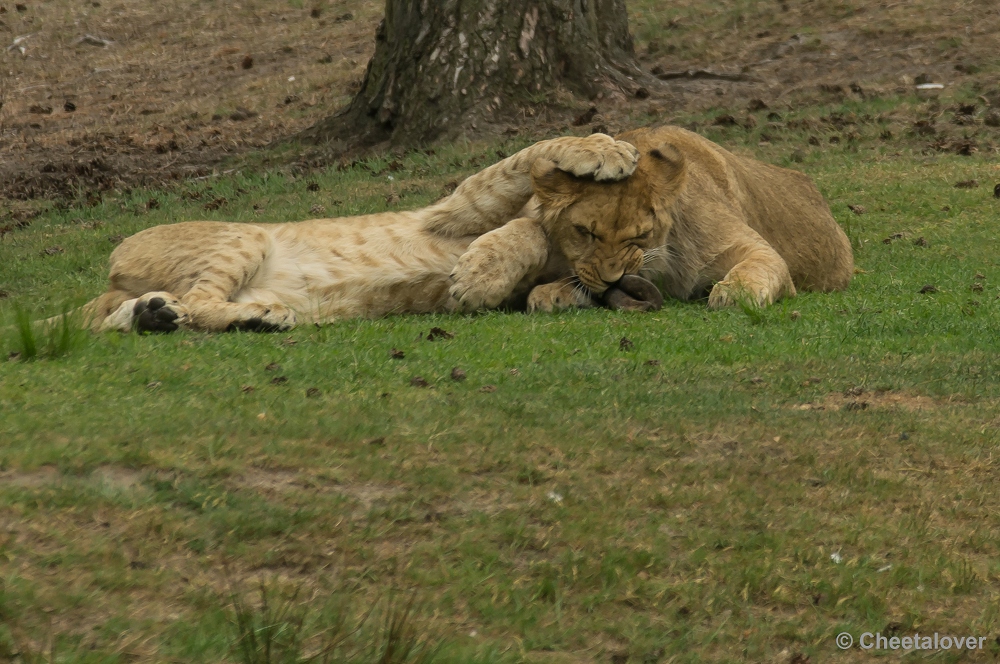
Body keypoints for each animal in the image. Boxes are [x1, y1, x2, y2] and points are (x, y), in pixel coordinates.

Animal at [450, 126, 856, 314]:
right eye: (584, 233)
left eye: (640, 236)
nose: (613, 280)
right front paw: (553, 292)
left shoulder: (754, 248)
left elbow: (757, 266)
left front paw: (734, 293)